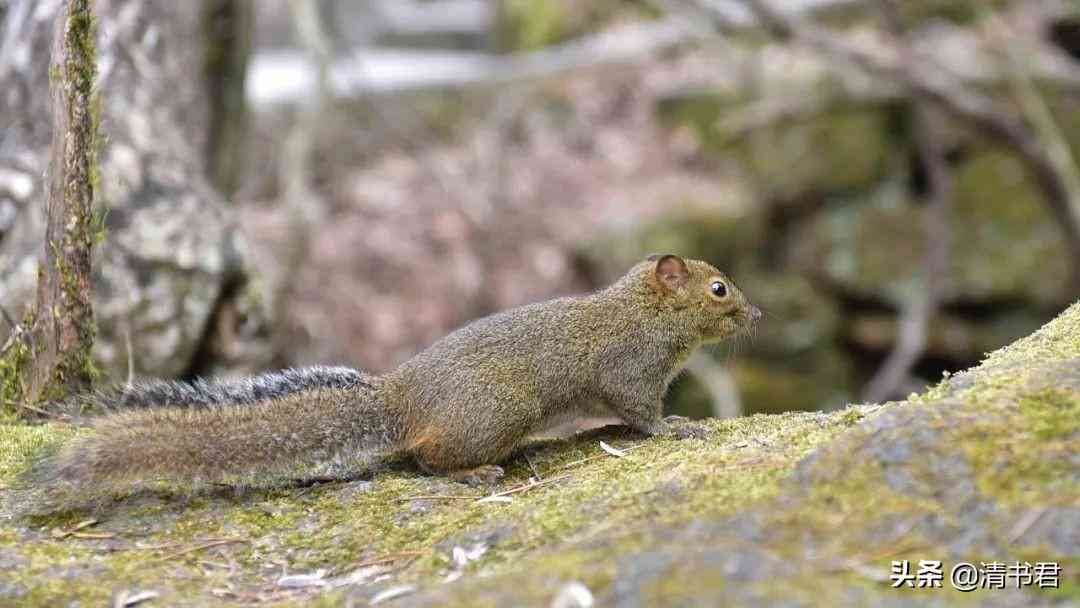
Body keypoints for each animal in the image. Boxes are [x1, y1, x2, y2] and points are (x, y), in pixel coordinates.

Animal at [25, 254, 760, 496]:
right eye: (719, 289)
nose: (757, 313)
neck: (644, 312)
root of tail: (402, 399)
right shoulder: (630, 371)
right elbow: (640, 414)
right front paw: (680, 429)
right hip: (499, 411)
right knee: (428, 459)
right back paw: (476, 470)